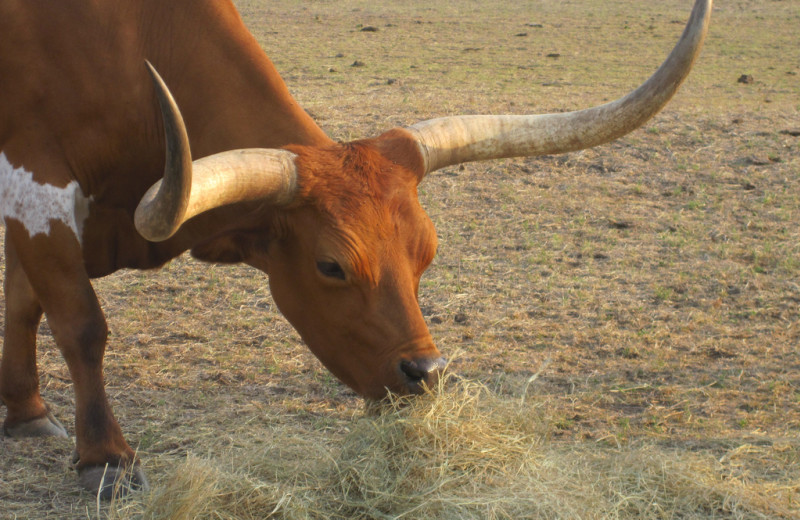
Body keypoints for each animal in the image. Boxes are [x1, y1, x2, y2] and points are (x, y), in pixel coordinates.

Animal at [0, 0, 712, 498]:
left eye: (427, 253)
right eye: (331, 266)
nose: (425, 373)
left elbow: (24, 306)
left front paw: (26, 411)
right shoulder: (36, 190)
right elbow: (80, 325)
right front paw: (107, 459)